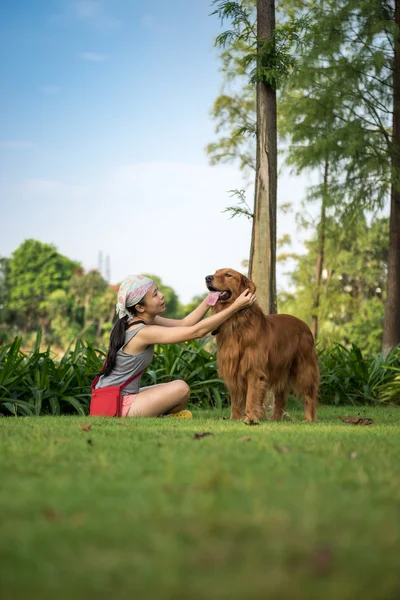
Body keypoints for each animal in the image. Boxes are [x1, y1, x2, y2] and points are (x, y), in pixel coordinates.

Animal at [206, 268, 318, 422]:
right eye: (216, 272)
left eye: (228, 275)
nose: (207, 278)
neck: (237, 322)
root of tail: (305, 325)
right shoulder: (232, 367)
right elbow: (236, 399)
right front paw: (235, 419)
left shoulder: (254, 368)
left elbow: (251, 396)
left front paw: (250, 417)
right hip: (281, 369)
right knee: (281, 397)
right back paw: (275, 418)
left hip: (304, 368)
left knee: (309, 394)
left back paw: (309, 418)